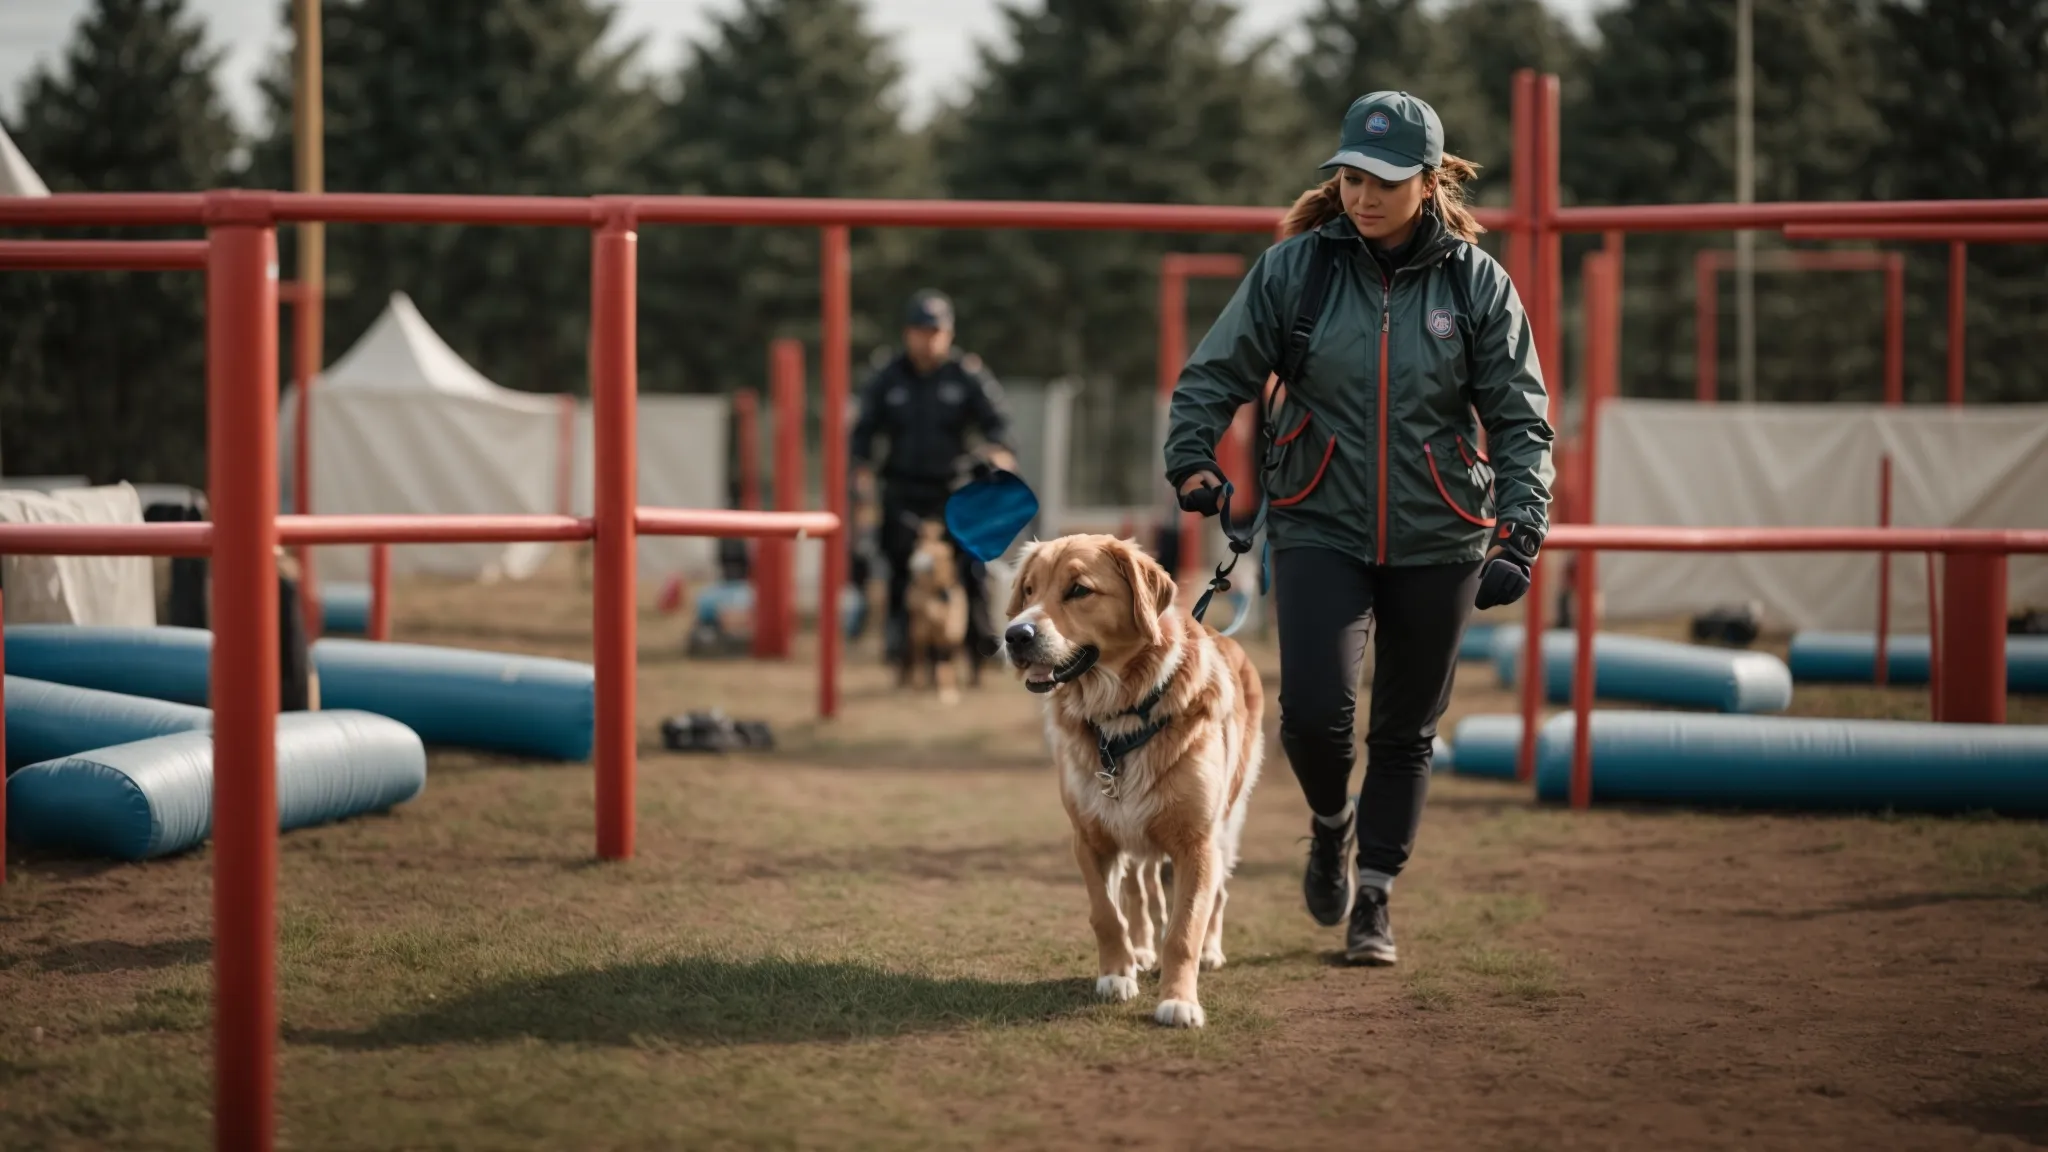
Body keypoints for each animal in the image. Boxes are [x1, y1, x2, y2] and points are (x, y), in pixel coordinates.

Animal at [905, 518, 974, 701]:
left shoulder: (952, 629)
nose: (913, 562)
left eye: (939, 552)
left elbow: (947, 657)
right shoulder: (921, 628)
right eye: (917, 544)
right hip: (918, 633)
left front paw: (948, 691)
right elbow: (924, 659)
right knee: (920, 657)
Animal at [1003, 528, 1261, 1020]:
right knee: (1140, 890)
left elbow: (1185, 928)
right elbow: (1107, 913)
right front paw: (1117, 975)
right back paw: (1141, 949)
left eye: (1078, 590)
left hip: (1227, 823)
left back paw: (1210, 951)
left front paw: (1178, 1000)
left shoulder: (1197, 842)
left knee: (1216, 894)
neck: (1121, 715)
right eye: (1028, 590)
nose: (1014, 635)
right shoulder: (1091, 836)